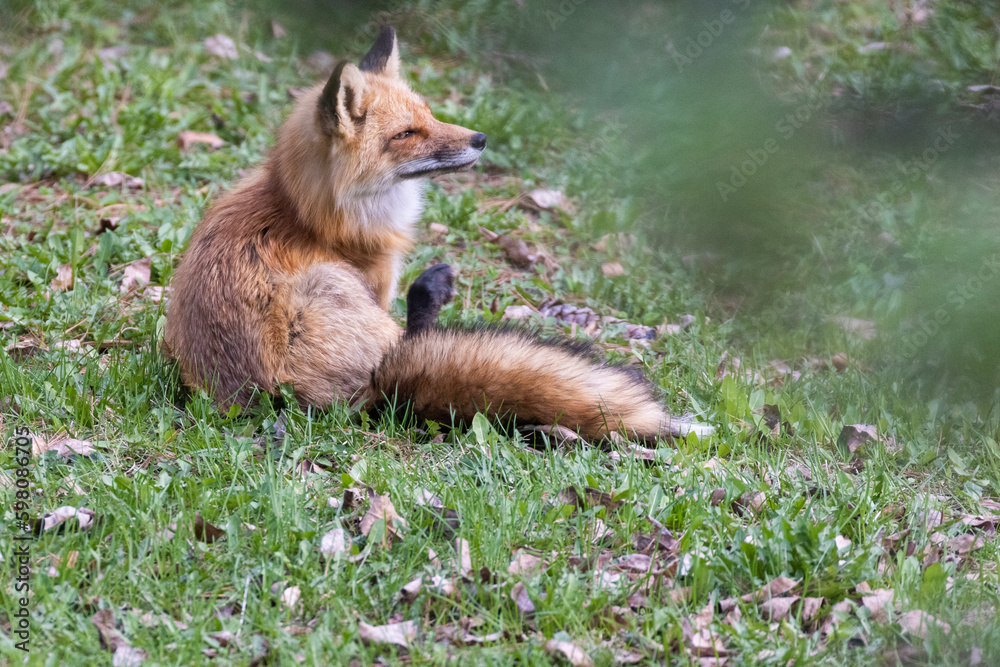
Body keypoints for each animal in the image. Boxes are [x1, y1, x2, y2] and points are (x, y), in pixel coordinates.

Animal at [164, 27, 711, 442]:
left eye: (428, 114)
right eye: (406, 134)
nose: (481, 138)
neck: (309, 214)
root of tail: (263, 397)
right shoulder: (377, 287)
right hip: (342, 300)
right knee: (415, 343)